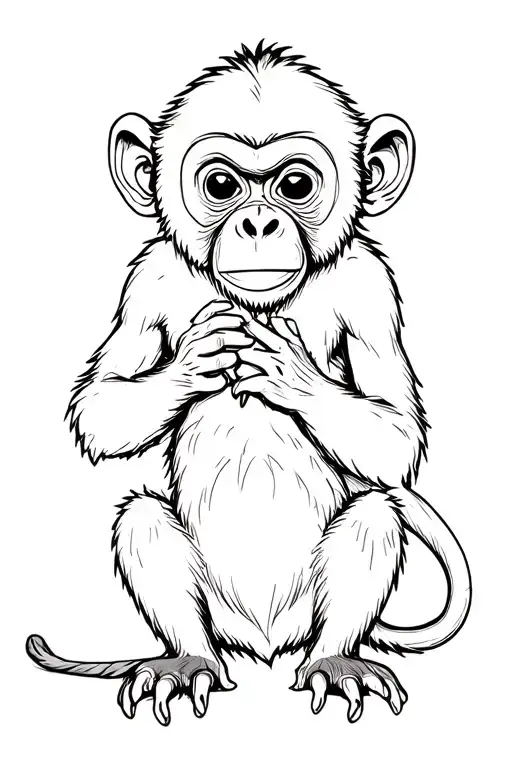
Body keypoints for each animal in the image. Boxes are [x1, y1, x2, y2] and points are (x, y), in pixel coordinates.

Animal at [26, 42, 471, 725]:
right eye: (221, 185)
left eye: (295, 185)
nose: (258, 224)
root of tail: (264, 643)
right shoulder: (149, 279)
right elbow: (101, 402)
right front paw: (195, 361)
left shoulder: (371, 286)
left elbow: (396, 433)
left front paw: (293, 370)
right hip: (216, 614)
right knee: (144, 519)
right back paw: (185, 662)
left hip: (308, 611)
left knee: (374, 513)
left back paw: (336, 660)